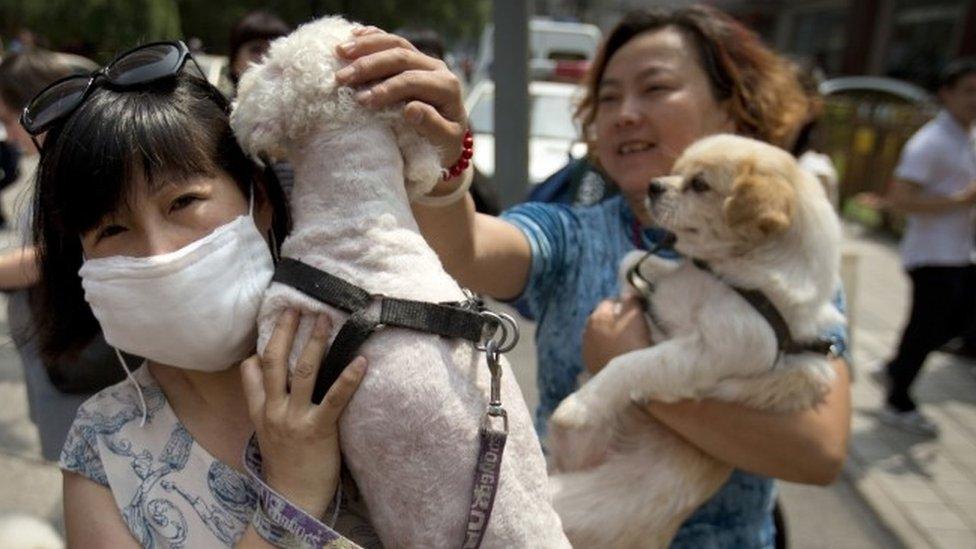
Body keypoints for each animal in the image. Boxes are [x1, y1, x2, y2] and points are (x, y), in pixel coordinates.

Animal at [548, 134, 848, 548]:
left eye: (700, 185)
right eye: (676, 172)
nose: (654, 185)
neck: (725, 279)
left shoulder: (709, 351)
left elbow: (632, 362)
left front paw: (581, 404)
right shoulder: (663, 282)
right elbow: (632, 262)